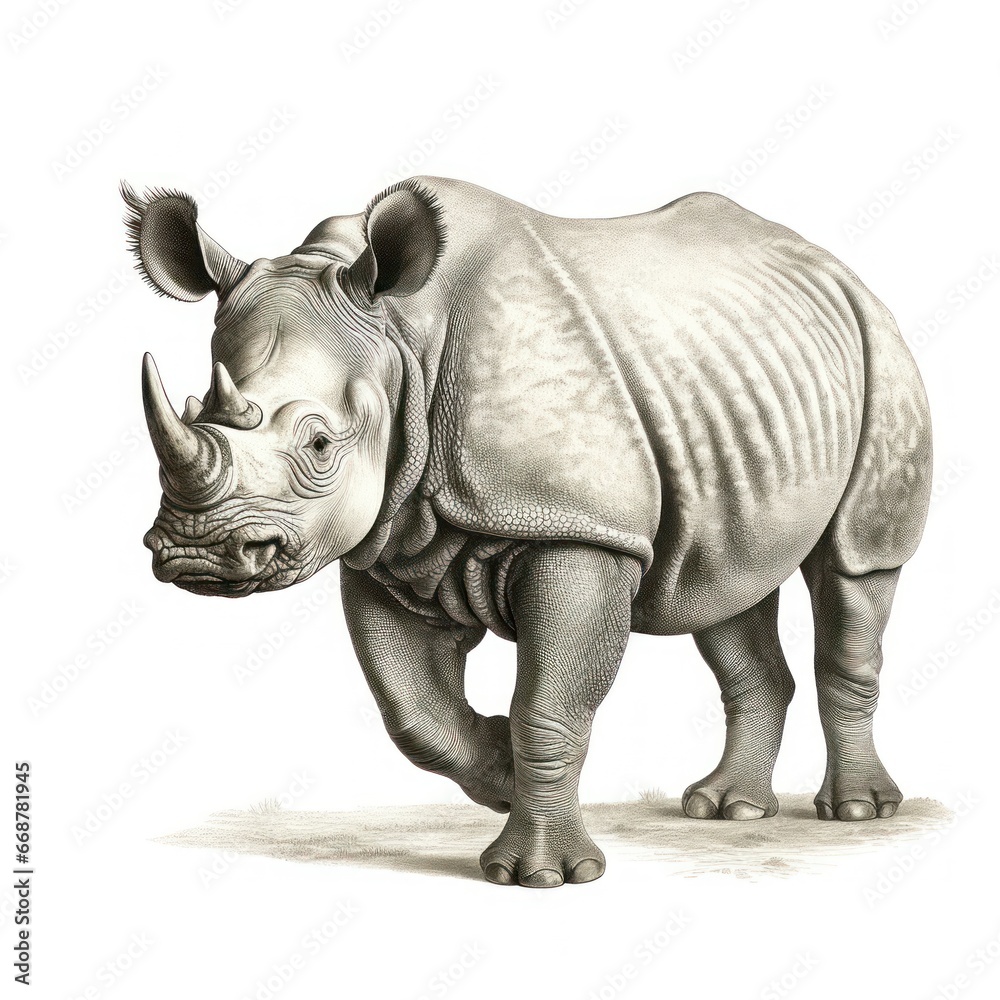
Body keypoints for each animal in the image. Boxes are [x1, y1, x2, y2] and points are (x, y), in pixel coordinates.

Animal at [124, 175, 931, 887]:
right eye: (194, 409)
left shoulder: (581, 529)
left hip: (881, 349)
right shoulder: (387, 543)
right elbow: (412, 711)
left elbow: (548, 705)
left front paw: (543, 874)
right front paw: (501, 775)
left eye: (320, 445)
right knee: (724, 586)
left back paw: (856, 811)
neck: (404, 344)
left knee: (855, 568)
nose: (196, 553)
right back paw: (724, 809)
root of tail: (834, 268)